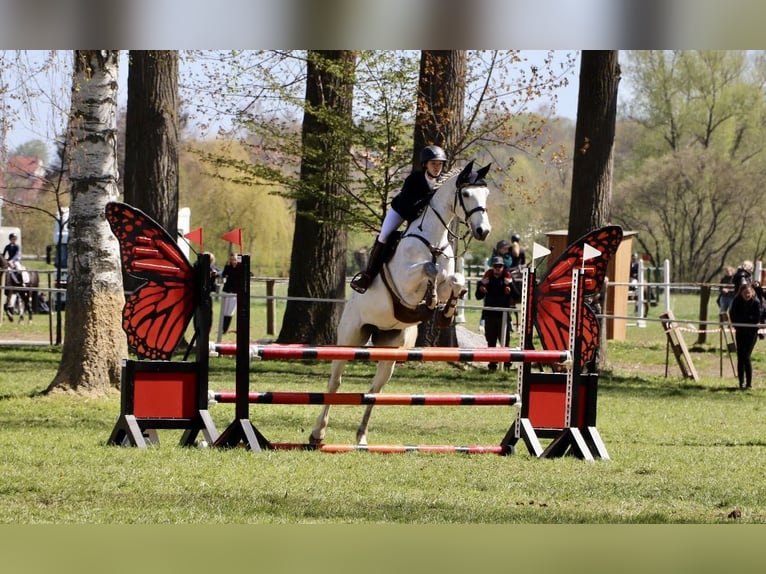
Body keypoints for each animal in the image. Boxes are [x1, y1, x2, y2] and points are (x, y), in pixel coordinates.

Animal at [310, 160, 496, 448]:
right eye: (466, 194)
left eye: (485, 194)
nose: (483, 231)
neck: (433, 241)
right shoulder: (406, 283)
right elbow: (430, 269)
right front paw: (430, 302)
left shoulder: (448, 279)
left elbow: (455, 279)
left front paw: (445, 312)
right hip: (350, 338)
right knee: (335, 383)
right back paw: (318, 433)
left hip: (392, 349)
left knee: (374, 390)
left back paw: (361, 437)